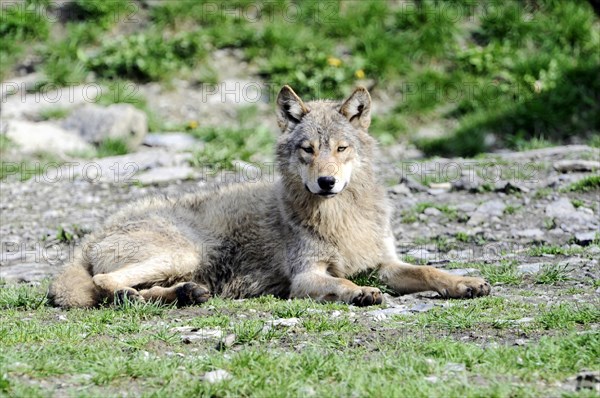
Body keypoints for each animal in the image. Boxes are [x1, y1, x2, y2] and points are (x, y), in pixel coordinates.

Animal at [49, 87, 490, 310]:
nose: (326, 182)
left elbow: (430, 271)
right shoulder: (306, 276)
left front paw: (464, 282)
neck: (341, 217)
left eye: (341, 148)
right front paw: (358, 292)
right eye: (308, 150)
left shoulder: (385, 264)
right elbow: (341, 281)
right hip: (185, 252)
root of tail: (91, 236)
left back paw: (186, 295)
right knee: (107, 285)